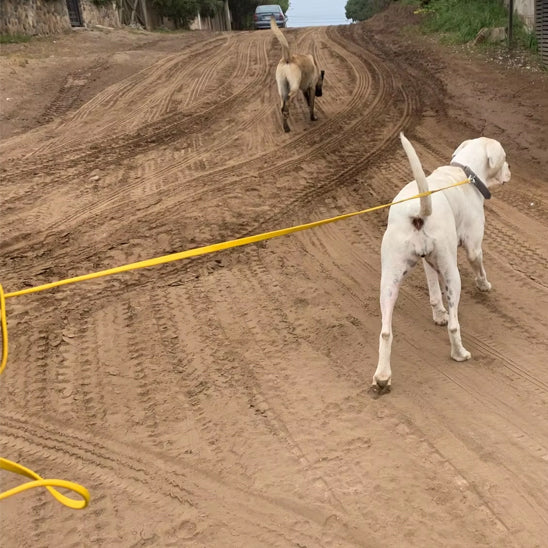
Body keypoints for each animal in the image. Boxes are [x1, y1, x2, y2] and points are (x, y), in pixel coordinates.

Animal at [372, 132, 510, 390]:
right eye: (505, 157)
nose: (510, 170)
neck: (463, 174)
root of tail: (418, 211)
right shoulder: (472, 247)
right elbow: (479, 268)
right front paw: (484, 286)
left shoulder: (429, 261)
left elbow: (434, 292)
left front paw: (438, 314)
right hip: (452, 272)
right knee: (455, 325)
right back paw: (459, 353)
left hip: (389, 282)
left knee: (385, 332)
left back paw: (382, 377)